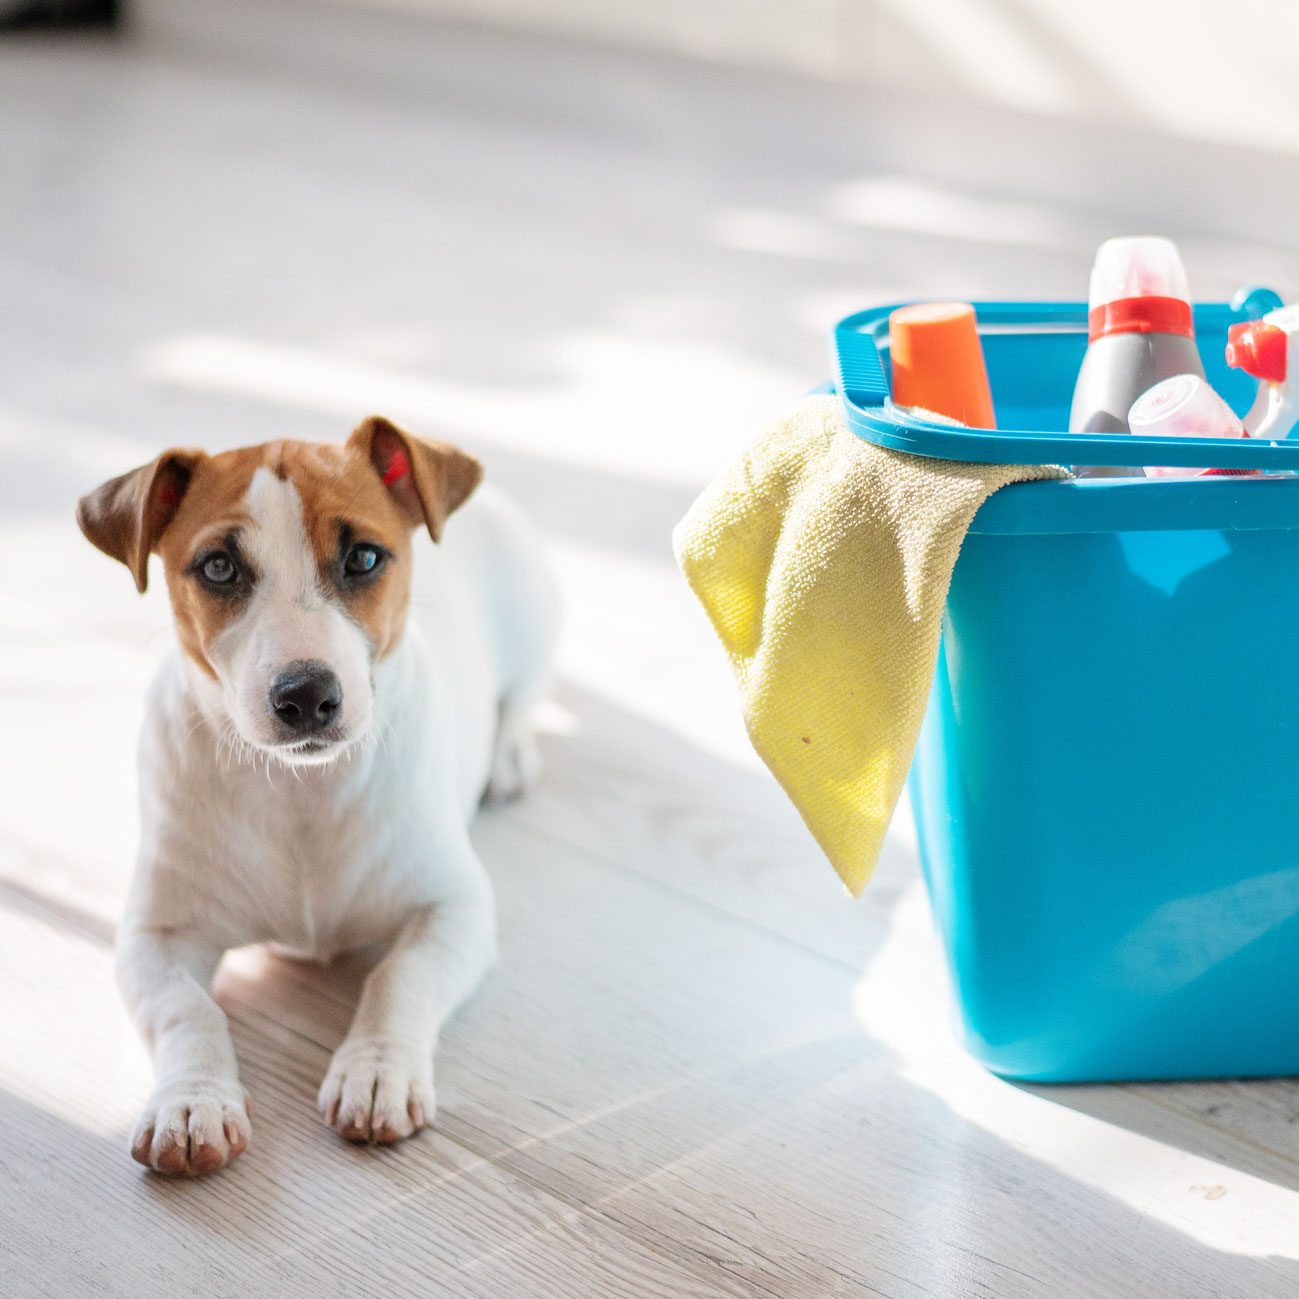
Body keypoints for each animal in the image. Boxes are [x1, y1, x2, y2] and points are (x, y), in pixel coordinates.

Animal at [75, 415, 553, 1179]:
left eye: (363, 557)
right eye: (218, 567)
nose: (305, 695)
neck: (301, 793)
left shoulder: (455, 908)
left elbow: (399, 975)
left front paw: (377, 1069)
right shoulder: (154, 937)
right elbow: (189, 1011)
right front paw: (192, 1102)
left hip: (537, 622)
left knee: (526, 695)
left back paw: (508, 755)